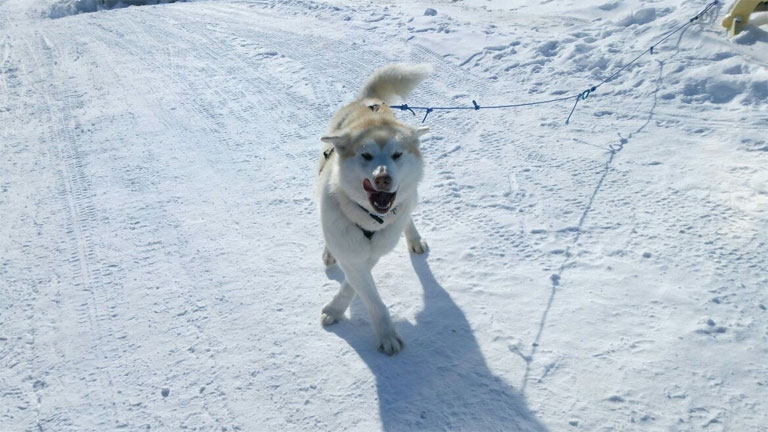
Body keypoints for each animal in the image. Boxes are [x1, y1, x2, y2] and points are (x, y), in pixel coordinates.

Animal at [314, 63, 432, 354]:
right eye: (366, 155)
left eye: (397, 154)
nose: (383, 178)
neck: (369, 219)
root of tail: (369, 102)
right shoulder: (350, 249)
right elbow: (369, 295)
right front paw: (385, 333)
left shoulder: (374, 250)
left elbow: (355, 286)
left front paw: (337, 308)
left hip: (411, 197)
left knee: (408, 214)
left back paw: (414, 238)